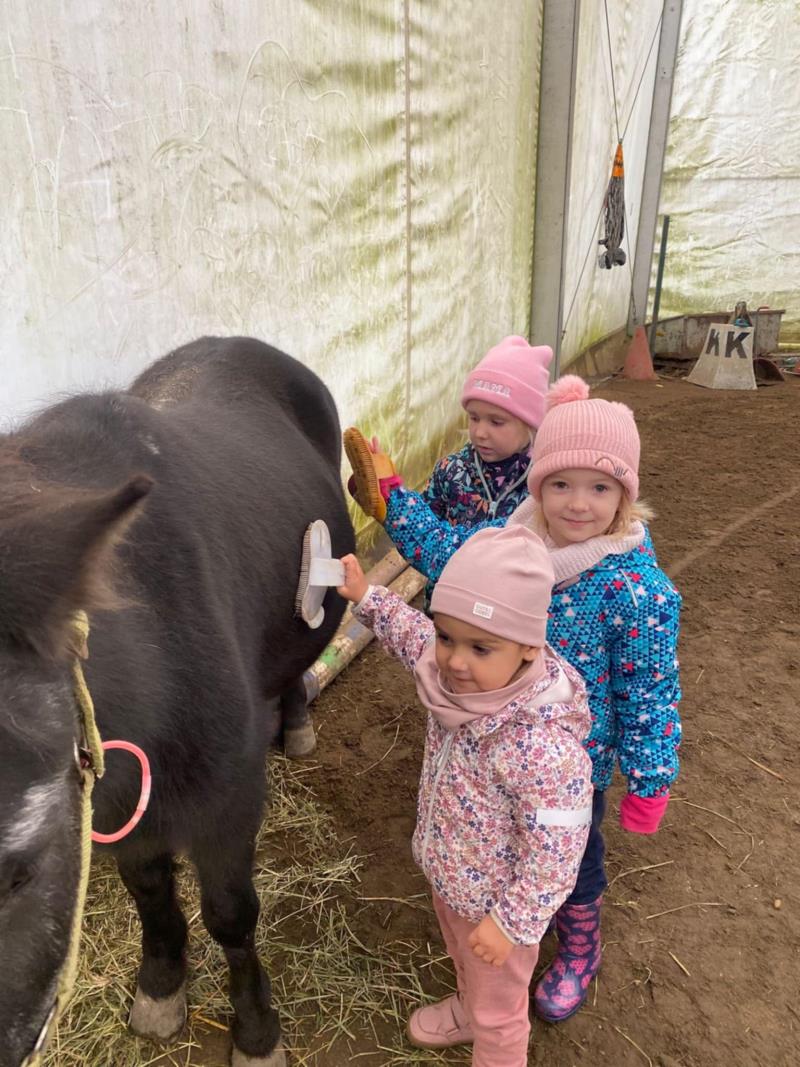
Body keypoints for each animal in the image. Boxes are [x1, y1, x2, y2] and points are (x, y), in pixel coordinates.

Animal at [0, 336, 354, 1067]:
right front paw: (161, 985)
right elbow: (149, 889)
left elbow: (230, 912)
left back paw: (297, 724)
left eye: (19, 874)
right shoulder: (120, 799)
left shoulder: (229, 800)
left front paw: (256, 1031)